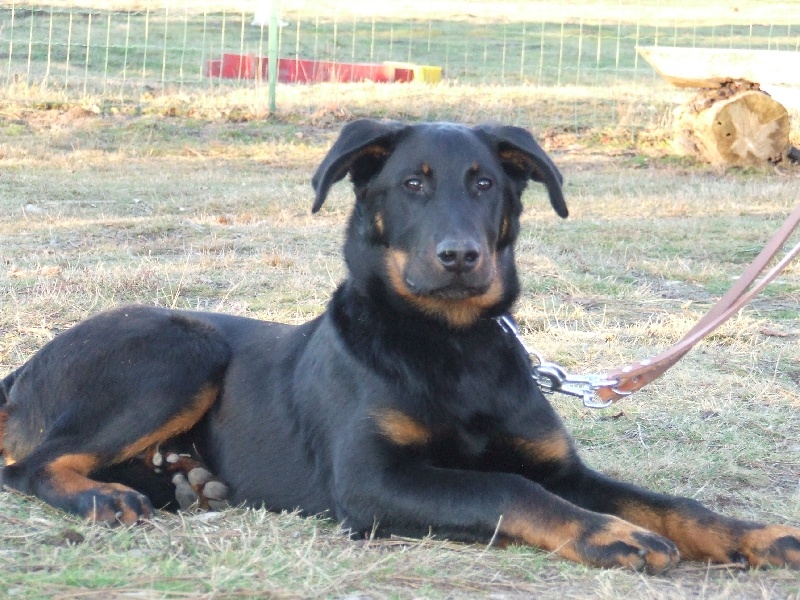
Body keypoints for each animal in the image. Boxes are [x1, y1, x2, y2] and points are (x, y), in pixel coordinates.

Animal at [1, 120, 800, 572]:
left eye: (486, 184)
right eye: (412, 184)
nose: (460, 258)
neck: (450, 344)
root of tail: (22, 372)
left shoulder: (562, 469)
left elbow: (668, 503)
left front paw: (756, 535)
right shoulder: (372, 481)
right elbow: (505, 488)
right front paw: (609, 535)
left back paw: (186, 481)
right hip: (180, 347)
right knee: (31, 466)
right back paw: (104, 498)